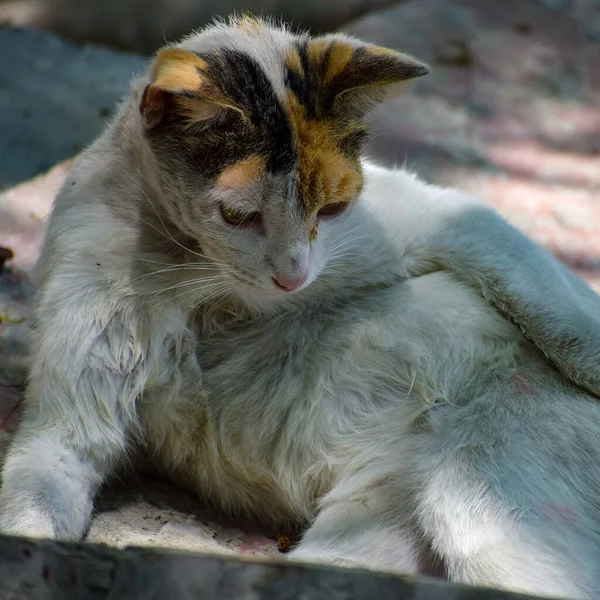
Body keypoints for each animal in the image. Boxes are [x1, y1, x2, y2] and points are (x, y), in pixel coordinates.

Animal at [3, 15, 600, 600]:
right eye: (237, 216)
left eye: (332, 209)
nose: (292, 277)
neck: (199, 281)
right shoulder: (65, 428)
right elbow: (34, 509)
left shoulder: (443, 219)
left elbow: (556, 307)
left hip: (482, 503)